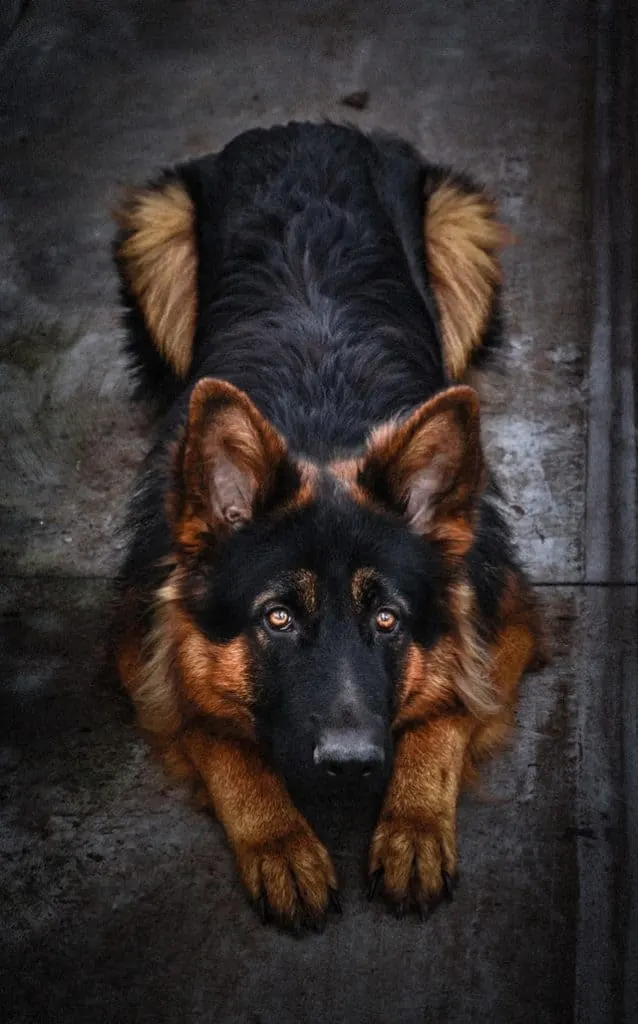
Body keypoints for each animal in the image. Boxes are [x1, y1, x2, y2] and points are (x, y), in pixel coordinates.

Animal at [113, 119, 544, 929]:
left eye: (387, 620)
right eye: (277, 619)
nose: (350, 767)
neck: (319, 429)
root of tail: (302, 128)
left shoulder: (502, 623)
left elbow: (448, 708)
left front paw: (413, 823)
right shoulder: (143, 650)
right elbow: (218, 733)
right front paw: (281, 840)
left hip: (460, 231)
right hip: (155, 230)